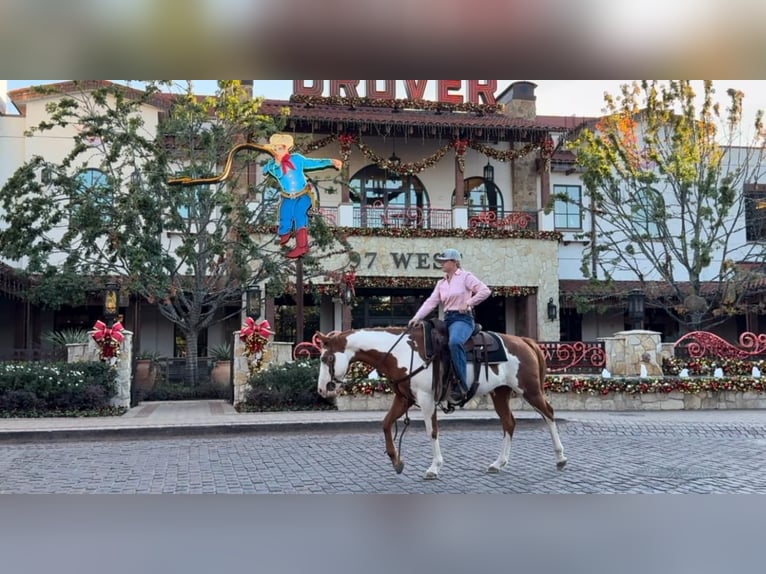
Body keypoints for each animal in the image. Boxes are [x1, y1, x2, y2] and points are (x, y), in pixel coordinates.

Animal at [316, 324, 568, 482]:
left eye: (326, 358)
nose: (321, 389)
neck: (402, 351)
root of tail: (525, 341)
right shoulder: (404, 398)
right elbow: (386, 424)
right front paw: (397, 461)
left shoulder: (426, 398)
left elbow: (432, 431)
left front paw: (434, 468)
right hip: (500, 393)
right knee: (509, 423)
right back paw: (498, 463)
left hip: (529, 389)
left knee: (549, 414)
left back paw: (561, 458)